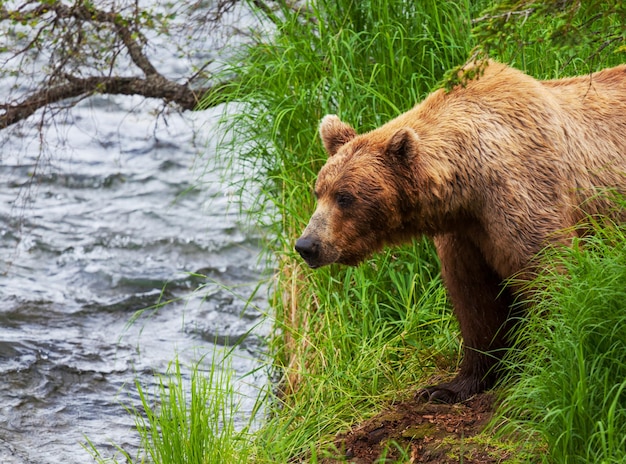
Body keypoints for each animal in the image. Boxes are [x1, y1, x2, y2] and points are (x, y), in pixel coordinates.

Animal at [294, 60, 624, 402]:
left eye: (345, 197)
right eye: (318, 191)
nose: (306, 244)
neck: (469, 187)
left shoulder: (523, 195)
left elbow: (549, 273)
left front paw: (547, 362)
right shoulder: (466, 234)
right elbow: (474, 300)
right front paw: (450, 386)